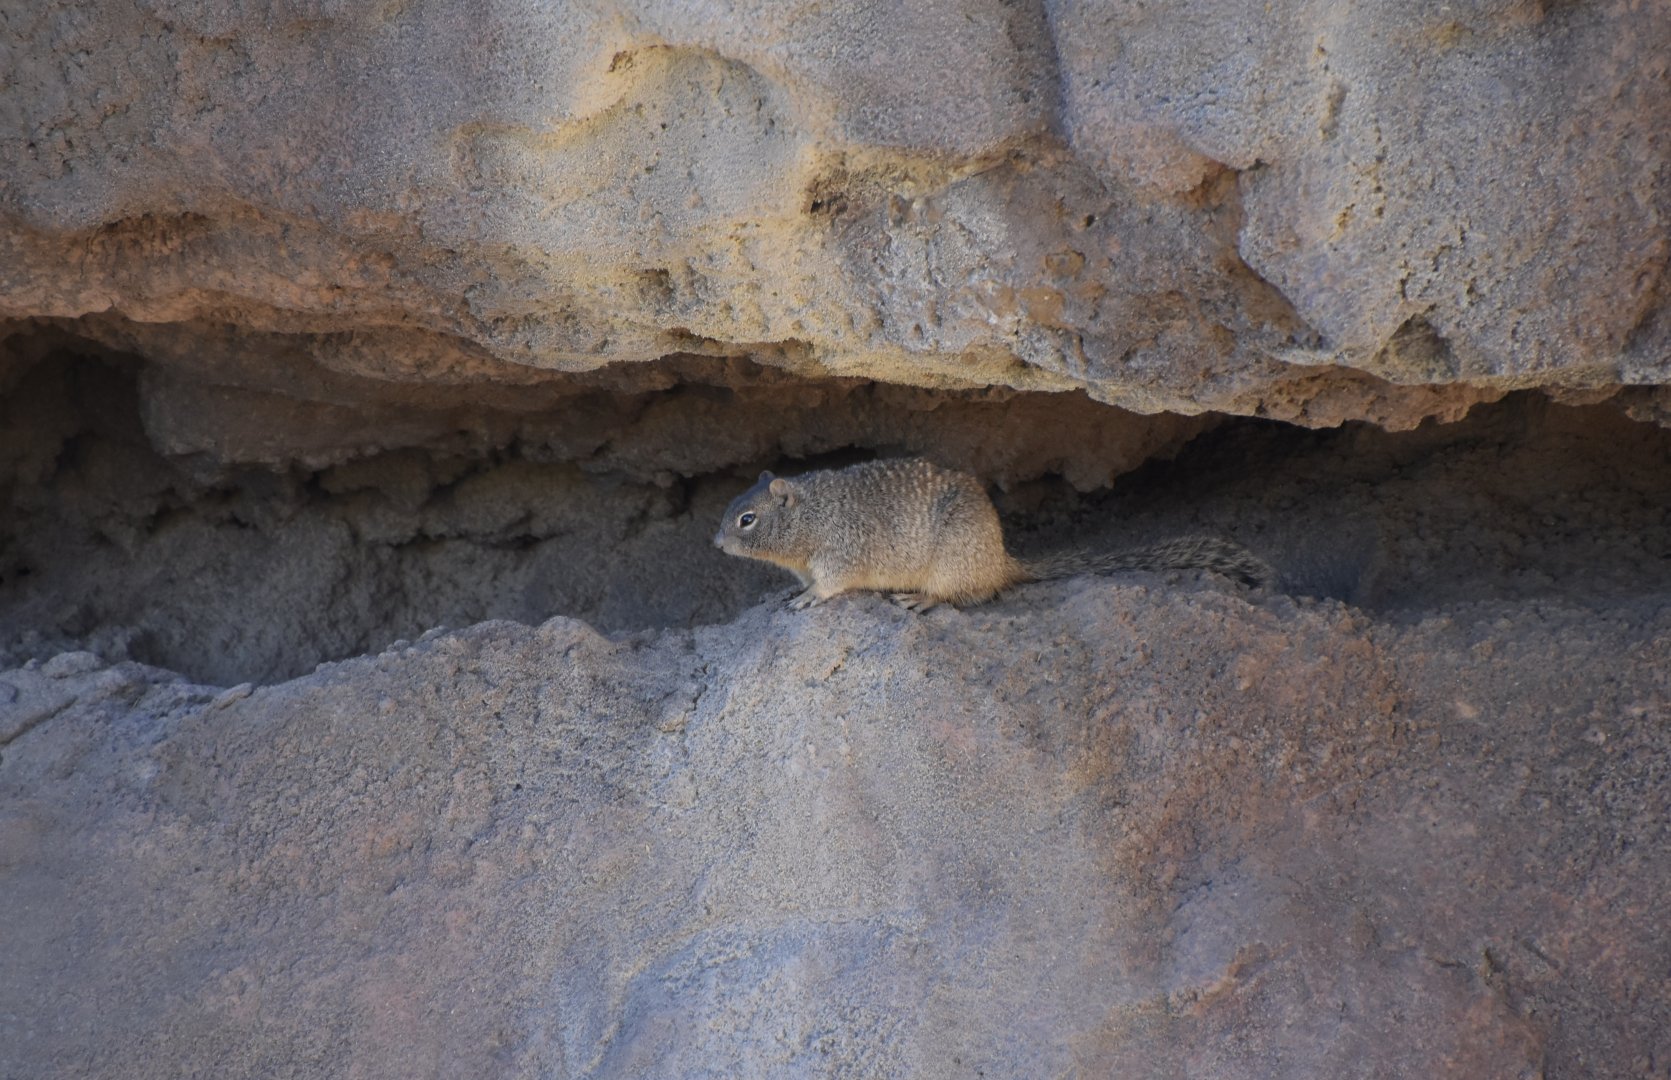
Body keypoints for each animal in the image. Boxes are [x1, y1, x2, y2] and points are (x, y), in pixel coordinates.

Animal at [713, 457, 1273, 611]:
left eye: (747, 519)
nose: (715, 544)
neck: (810, 515)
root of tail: (1003, 558)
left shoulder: (839, 552)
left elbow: (831, 583)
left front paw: (810, 597)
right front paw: (790, 591)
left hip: (953, 565)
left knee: (972, 595)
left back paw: (922, 600)